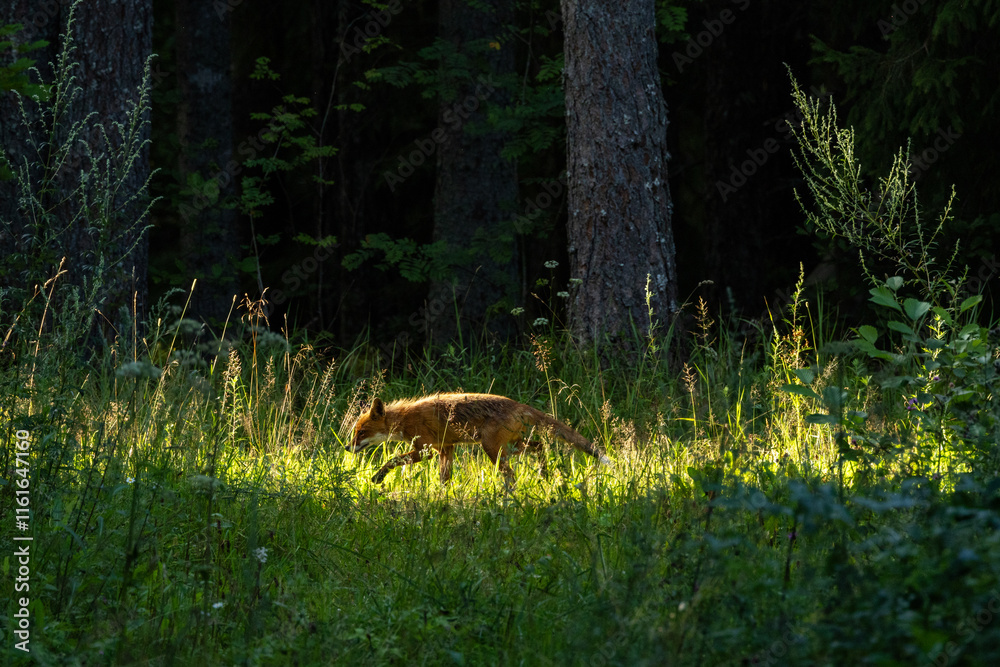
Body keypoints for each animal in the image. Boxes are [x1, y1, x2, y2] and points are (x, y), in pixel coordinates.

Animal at [347, 393, 612, 485]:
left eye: (361, 433)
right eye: (354, 433)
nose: (348, 448)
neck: (405, 418)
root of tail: (518, 405)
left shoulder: (426, 450)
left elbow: (391, 460)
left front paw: (377, 477)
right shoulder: (446, 449)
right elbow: (444, 479)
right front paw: (443, 497)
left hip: (493, 450)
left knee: (512, 475)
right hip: (511, 446)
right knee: (540, 446)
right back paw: (543, 476)